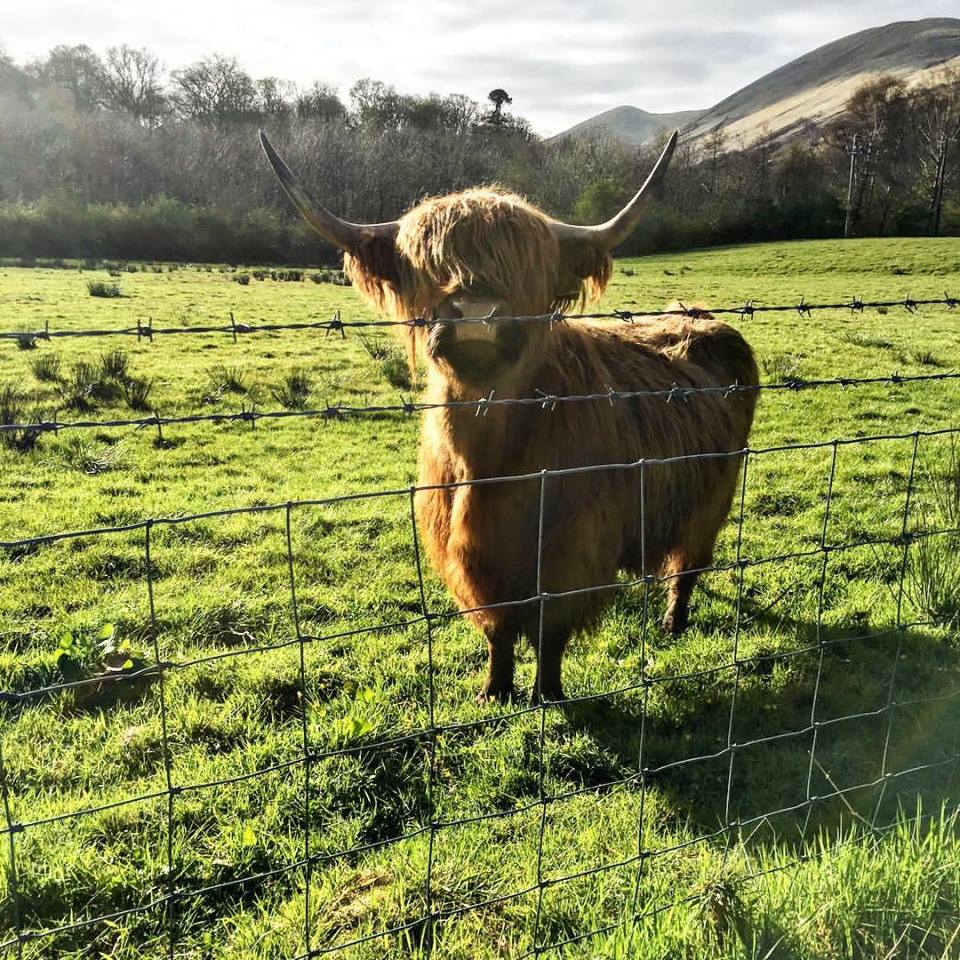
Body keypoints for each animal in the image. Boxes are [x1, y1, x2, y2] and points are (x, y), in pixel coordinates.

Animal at [260, 130, 758, 704]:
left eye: (527, 268)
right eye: (429, 265)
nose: (475, 314)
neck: (487, 462)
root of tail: (700, 316)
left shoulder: (570, 555)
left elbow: (550, 631)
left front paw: (550, 693)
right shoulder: (470, 558)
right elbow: (497, 629)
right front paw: (494, 690)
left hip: (714, 498)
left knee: (688, 564)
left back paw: (673, 623)